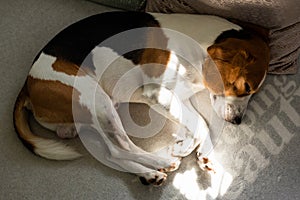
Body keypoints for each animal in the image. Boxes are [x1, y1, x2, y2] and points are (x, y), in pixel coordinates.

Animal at [13, 11, 270, 185]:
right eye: (245, 87)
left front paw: (192, 148)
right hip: (95, 98)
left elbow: (200, 124)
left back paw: (149, 173)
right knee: (118, 149)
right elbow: (202, 123)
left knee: (111, 153)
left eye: (253, 93)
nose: (237, 121)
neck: (199, 45)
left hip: (88, 118)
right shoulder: (158, 93)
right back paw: (159, 163)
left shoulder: (178, 97)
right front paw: (184, 147)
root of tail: (27, 84)